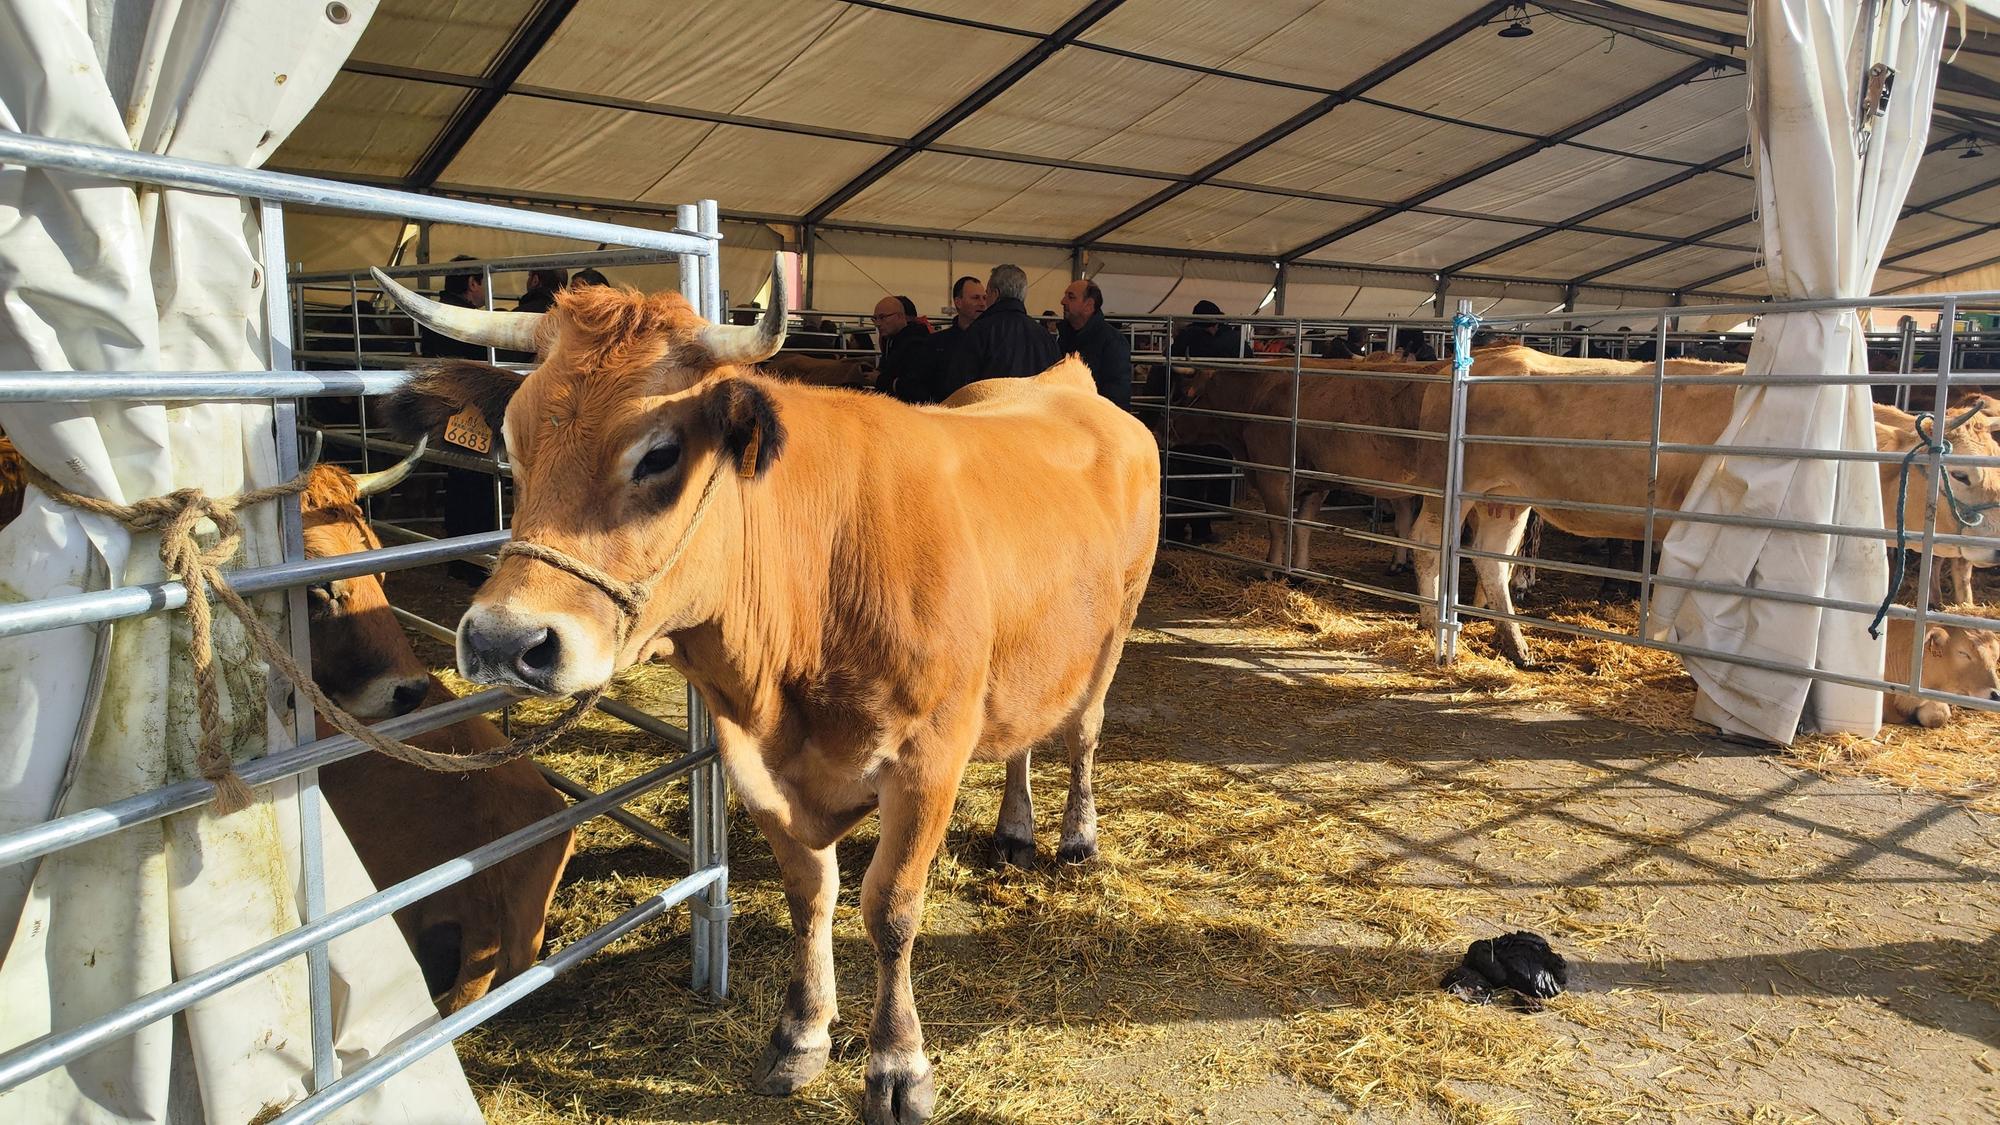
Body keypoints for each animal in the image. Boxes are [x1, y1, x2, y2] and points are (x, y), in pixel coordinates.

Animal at [376, 264, 1168, 1120]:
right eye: (514, 448)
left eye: (660, 453)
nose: (501, 639)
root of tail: (1067, 380)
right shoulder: (754, 761)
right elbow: (810, 892)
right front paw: (803, 1033)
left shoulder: (928, 758)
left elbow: (891, 907)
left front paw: (898, 1063)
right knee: (1023, 736)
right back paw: (1015, 830)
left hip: (1114, 631)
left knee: (1082, 733)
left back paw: (1075, 836)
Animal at [1400, 346, 2000, 664]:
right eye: (1961, 475)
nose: (1995, 548)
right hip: (1446, 487)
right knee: (1428, 545)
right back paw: (1434, 625)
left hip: (1507, 497)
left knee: (1493, 560)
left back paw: (1517, 644)